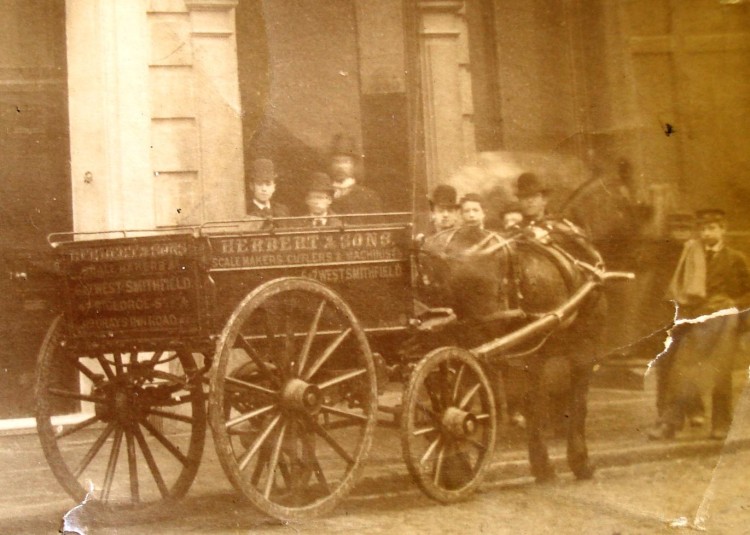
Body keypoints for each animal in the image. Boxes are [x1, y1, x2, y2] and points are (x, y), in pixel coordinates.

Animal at [418, 224, 612, 484]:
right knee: (458, 402)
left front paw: (542, 465)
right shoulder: (584, 351)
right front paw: (579, 461)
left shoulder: (533, 356)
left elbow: (534, 404)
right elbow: (577, 406)